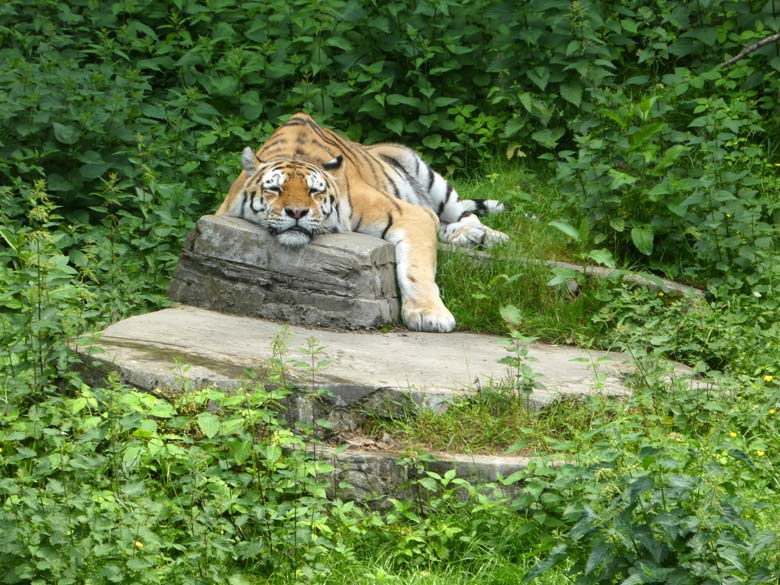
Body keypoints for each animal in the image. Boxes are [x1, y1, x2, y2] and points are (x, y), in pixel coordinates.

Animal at [216, 113, 508, 334]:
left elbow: (416, 269)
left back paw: (486, 236)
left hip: (431, 180)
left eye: (314, 191)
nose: (297, 212)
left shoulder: (411, 213)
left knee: (464, 213)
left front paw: (430, 316)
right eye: (275, 189)